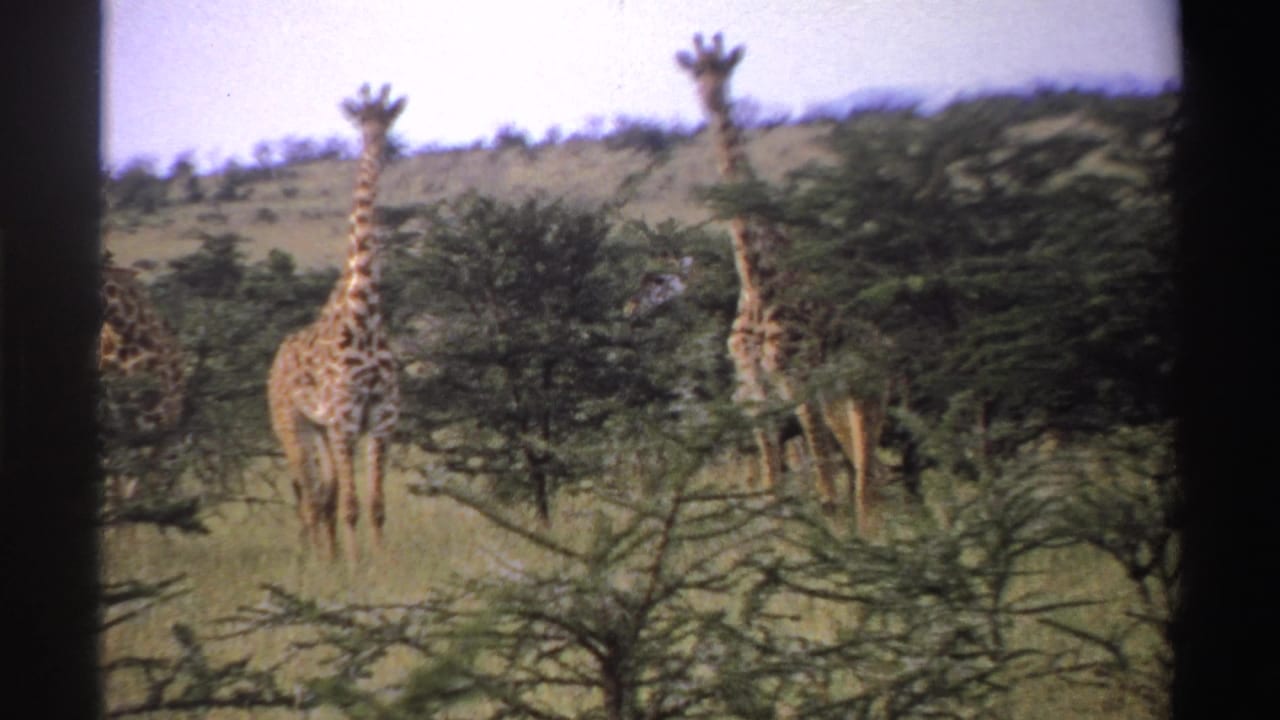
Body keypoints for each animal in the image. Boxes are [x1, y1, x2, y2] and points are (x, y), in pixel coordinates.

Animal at [268, 84, 405, 563]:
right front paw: (357, 566)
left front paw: (379, 563)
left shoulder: (381, 418)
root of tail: (275, 360)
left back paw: (328, 558)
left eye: (389, 119)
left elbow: (376, 505)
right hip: (293, 425)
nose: (379, 147)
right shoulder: (345, 420)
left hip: (323, 431)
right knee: (310, 498)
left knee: (321, 497)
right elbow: (350, 505)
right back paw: (317, 563)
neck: (364, 314)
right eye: (361, 120)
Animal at [676, 33, 889, 532]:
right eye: (695, 73)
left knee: (868, 462)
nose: (712, 98)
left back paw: (874, 528)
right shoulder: (756, 390)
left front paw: (829, 527)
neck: (757, 277)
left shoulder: (795, 375)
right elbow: (773, 481)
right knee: (866, 465)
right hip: (836, 390)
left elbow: (822, 475)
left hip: (865, 380)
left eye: (726, 68)